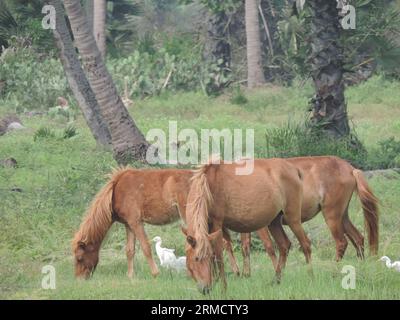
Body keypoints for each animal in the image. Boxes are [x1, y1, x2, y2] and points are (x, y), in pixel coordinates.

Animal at [184, 158, 312, 292]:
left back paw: (311, 278)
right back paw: (276, 281)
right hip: (274, 222)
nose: (205, 289)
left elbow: (219, 255)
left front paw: (223, 288)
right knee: (284, 246)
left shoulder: (217, 224)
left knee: (306, 245)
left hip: (293, 219)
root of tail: (294, 169)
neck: (207, 184)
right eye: (196, 258)